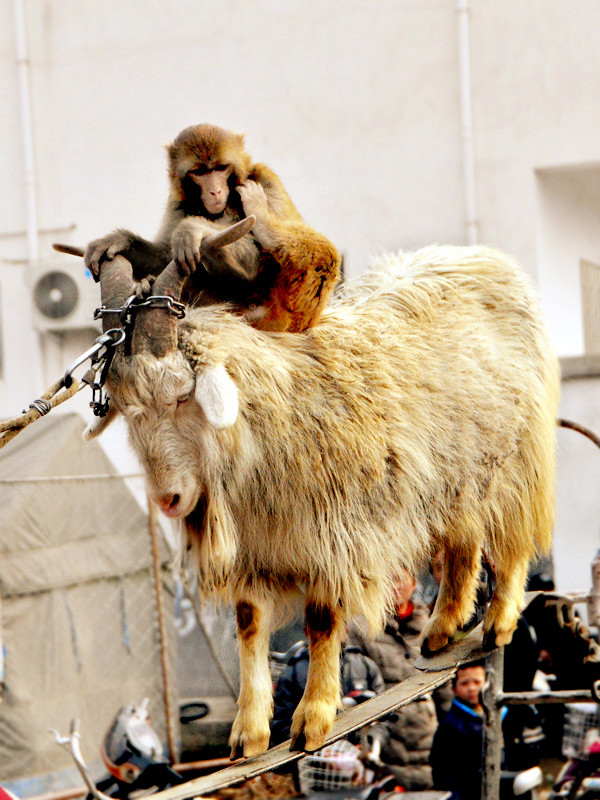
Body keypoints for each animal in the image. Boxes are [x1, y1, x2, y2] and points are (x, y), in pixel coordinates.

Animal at [81, 125, 340, 332]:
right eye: (200, 172)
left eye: (220, 168)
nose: (215, 191)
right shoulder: (178, 202)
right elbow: (165, 256)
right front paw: (119, 241)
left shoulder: (265, 179)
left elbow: (259, 259)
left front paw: (191, 227)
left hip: (297, 313)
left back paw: (264, 224)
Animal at [88, 228, 556, 760]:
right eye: (126, 409)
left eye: (183, 396)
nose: (167, 498)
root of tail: (484, 258)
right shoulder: (256, 549)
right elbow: (249, 623)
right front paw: (249, 734)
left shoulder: (334, 537)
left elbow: (321, 620)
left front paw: (312, 719)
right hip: (458, 475)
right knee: (464, 541)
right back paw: (441, 629)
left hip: (517, 459)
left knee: (513, 540)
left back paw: (498, 621)